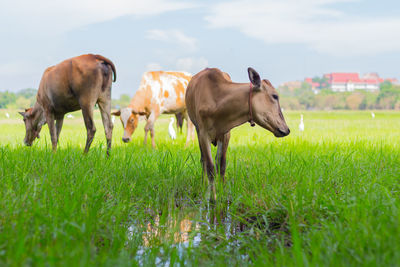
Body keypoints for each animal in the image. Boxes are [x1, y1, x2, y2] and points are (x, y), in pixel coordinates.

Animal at [186, 67, 290, 201]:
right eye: (275, 96)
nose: (286, 129)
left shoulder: (226, 133)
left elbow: (222, 164)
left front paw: (222, 192)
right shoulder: (203, 133)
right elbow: (210, 167)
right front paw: (212, 197)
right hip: (197, 130)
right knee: (203, 160)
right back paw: (204, 185)